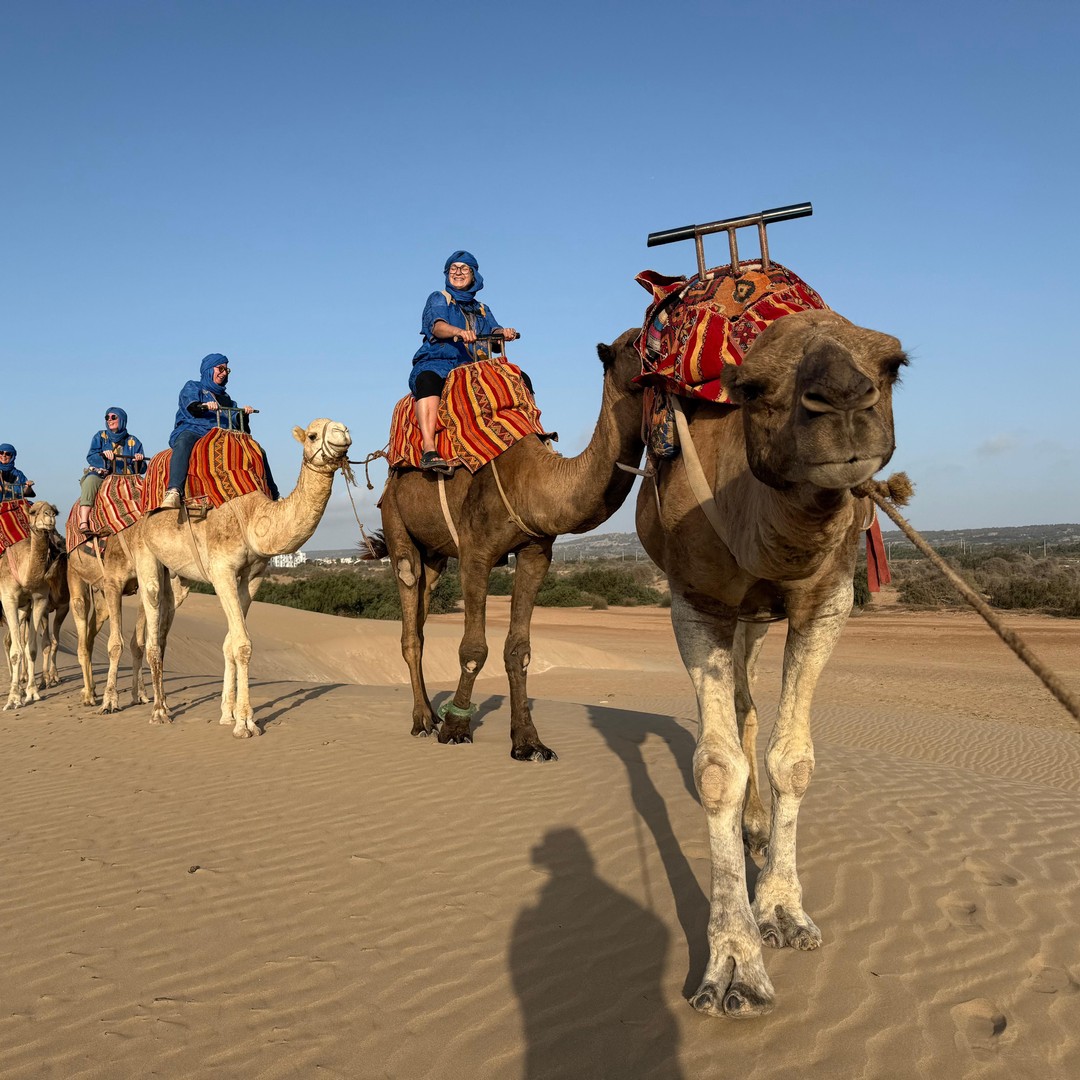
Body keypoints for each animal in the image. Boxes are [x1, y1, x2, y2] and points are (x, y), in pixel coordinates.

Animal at [1, 501, 62, 709]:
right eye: (34, 511)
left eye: (55, 511)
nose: (50, 516)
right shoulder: (8, 598)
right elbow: (16, 652)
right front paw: (13, 699)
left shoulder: (39, 599)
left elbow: (31, 649)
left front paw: (32, 692)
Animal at [132, 418, 352, 737]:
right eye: (312, 435)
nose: (342, 431)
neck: (251, 516)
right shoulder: (221, 570)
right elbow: (243, 645)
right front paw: (246, 723)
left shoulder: (254, 574)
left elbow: (229, 643)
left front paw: (228, 714)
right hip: (144, 551)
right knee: (151, 621)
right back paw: (159, 712)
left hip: (177, 577)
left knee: (164, 624)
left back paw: (167, 705)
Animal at [377, 331, 644, 760]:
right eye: (638, 339)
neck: (534, 480)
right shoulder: (475, 553)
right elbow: (473, 650)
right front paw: (456, 728)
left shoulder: (536, 553)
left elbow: (519, 650)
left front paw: (529, 742)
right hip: (396, 520)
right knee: (409, 608)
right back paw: (422, 721)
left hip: (435, 556)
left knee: (422, 605)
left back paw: (431, 713)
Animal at [636, 308, 907, 1017]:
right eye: (752, 388)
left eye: (892, 365)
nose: (843, 400)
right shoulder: (696, 601)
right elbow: (714, 769)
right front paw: (734, 967)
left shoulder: (827, 600)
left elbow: (795, 758)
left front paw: (782, 912)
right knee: (739, 702)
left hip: (757, 621)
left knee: (749, 702)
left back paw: (757, 827)